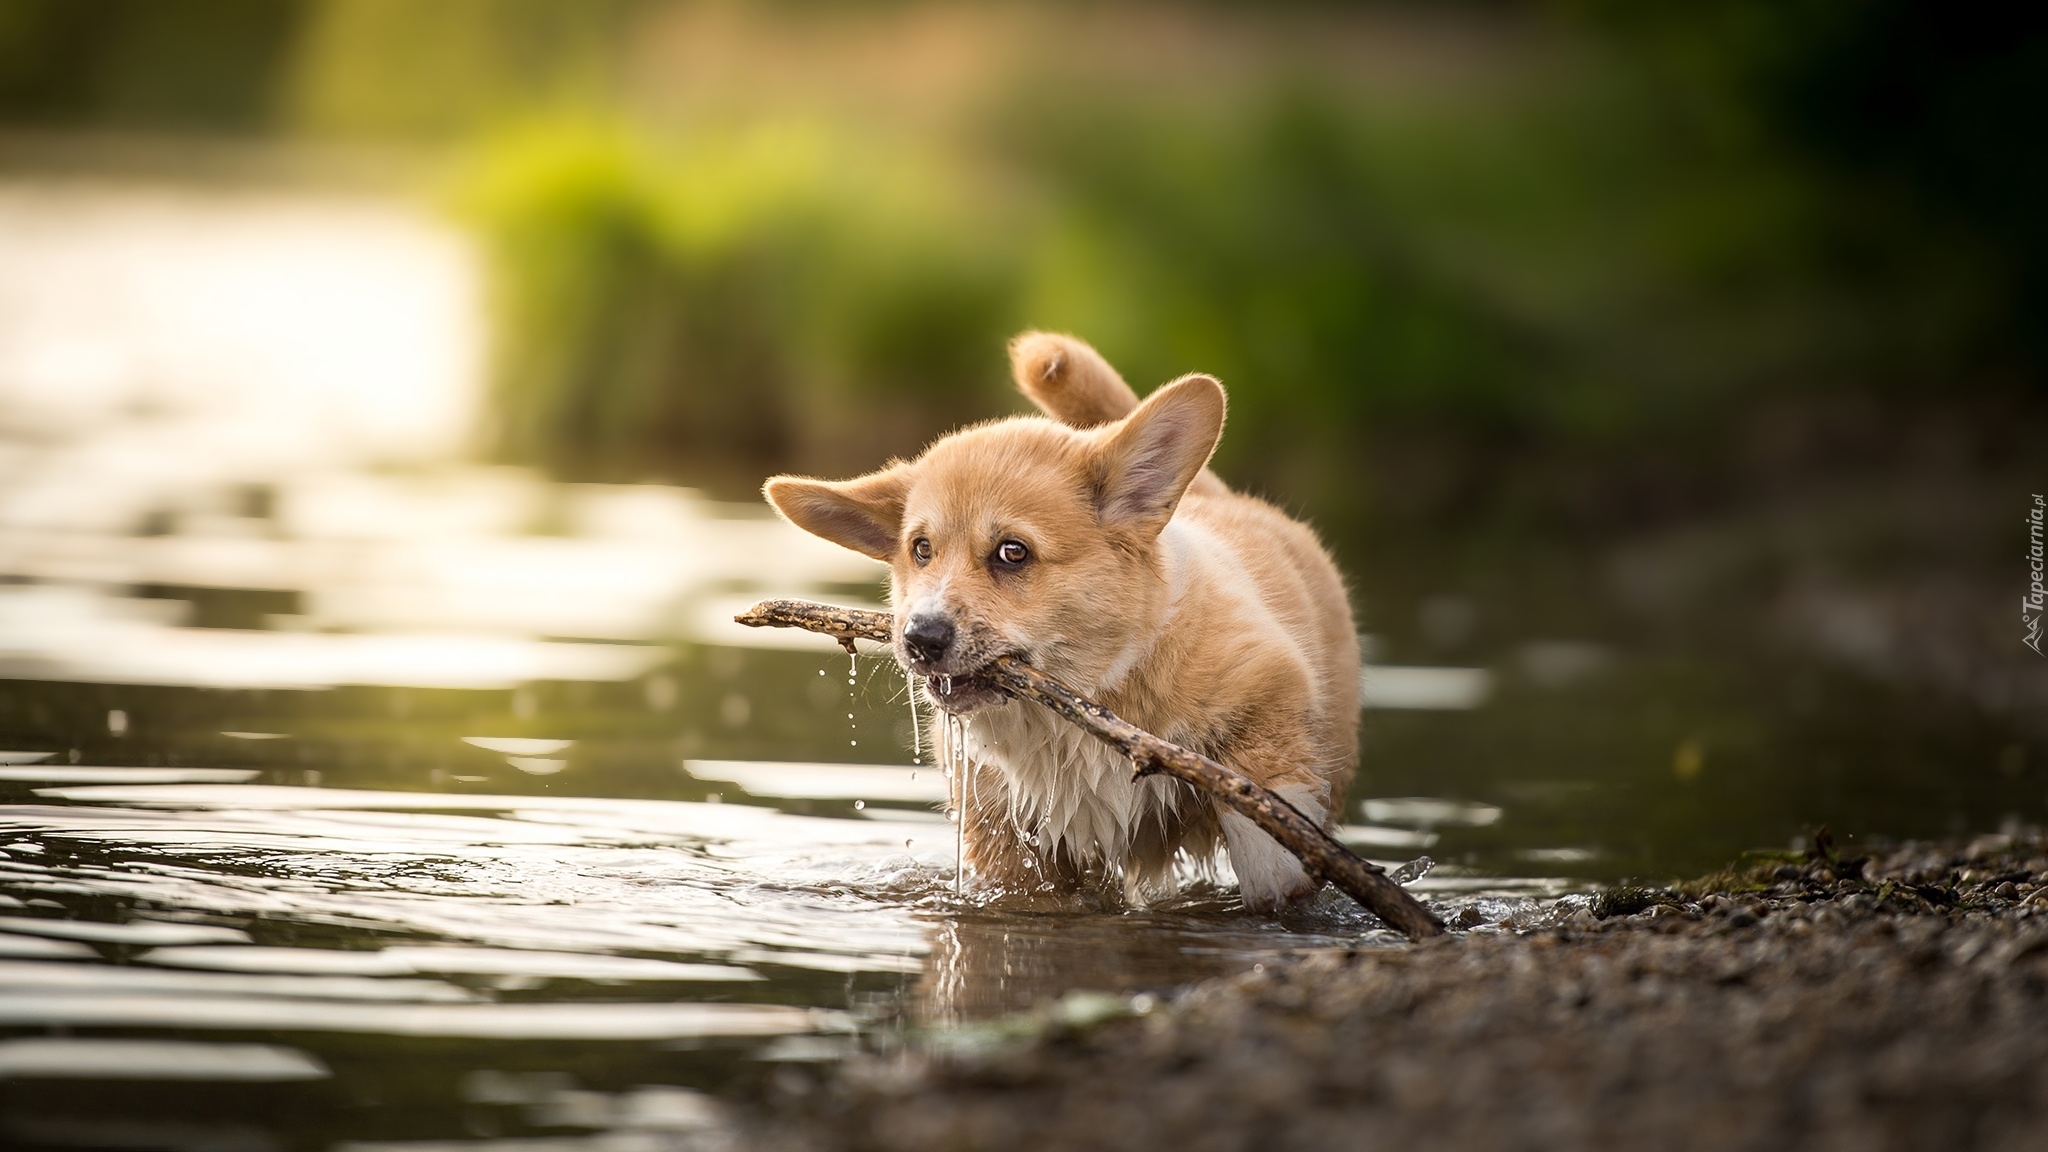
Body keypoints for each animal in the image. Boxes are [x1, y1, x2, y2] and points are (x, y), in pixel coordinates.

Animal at [770, 330, 1359, 906]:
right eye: (921, 549)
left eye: (1013, 552)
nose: (920, 638)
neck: (1084, 705)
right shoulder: (1011, 840)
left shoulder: (1270, 702)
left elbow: (1267, 845)